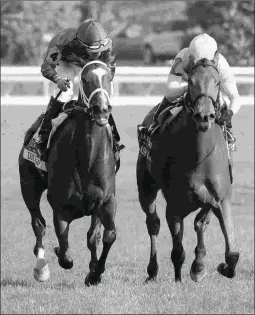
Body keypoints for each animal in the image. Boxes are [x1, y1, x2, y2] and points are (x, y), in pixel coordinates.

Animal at [18, 59, 116, 286]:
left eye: (109, 77)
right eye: (86, 79)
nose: (101, 109)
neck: (88, 159)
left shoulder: (105, 201)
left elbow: (103, 236)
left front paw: (95, 273)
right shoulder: (60, 207)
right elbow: (63, 248)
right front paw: (59, 256)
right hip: (28, 184)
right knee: (38, 224)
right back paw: (41, 268)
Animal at [137, 53, 239, 282]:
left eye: (217, 82)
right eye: (191, 82)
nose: (204, 116)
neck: (199, 156)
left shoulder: (220, 199)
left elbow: (231, 253)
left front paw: (208, 267)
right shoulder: (174, 205)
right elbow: (177, 250)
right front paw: (179, 278)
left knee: (199, 223)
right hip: (146, 187)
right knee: (152, 223)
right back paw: (152, 270)